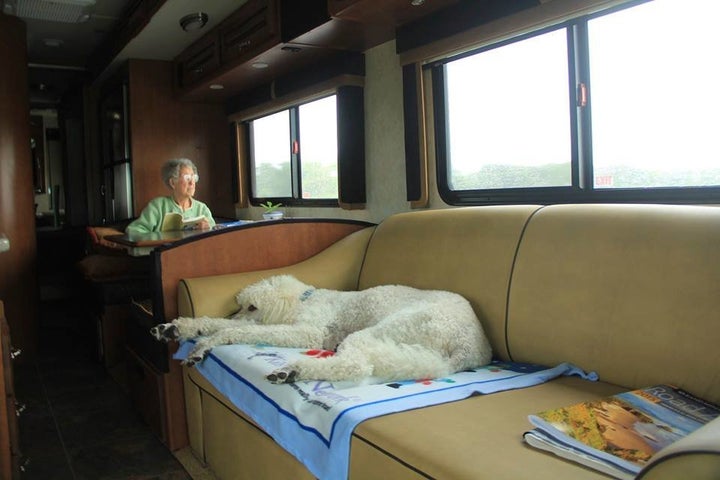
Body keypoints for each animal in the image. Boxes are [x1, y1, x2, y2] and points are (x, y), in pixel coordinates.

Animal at [149, 278, 492, 382]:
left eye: (252, 307)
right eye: (242, 306)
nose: (235, 313)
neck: (304, 298)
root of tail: (472, 347)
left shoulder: (307, 333)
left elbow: (238, 332)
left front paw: (208, 341)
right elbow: (221, 325)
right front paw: (177, 329)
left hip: (382, 331)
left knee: (355, 366)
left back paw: (294, 371)